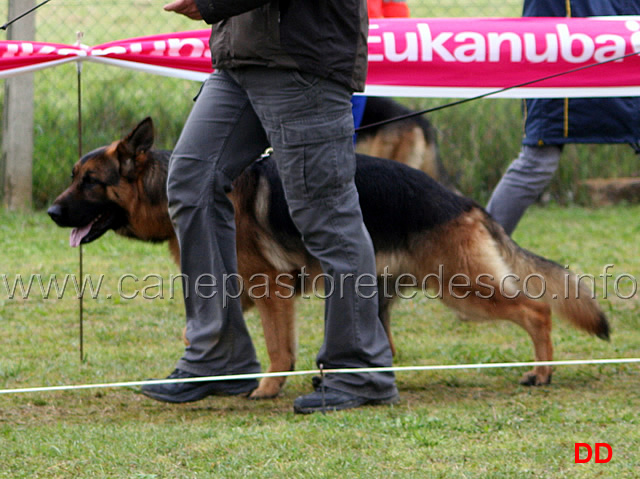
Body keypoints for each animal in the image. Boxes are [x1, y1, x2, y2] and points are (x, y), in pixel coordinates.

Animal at [47, 115, 608, 398]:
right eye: (74, 176)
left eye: (90, 182)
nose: (52, 211)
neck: (167, 191)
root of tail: (465, 202)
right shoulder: (237, 289)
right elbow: (200, 330)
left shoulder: (271, 290)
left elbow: (278, 348)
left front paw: (266, 390)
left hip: (463, 290)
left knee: (536, 309)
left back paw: (542, 373)